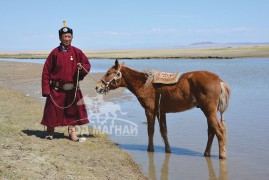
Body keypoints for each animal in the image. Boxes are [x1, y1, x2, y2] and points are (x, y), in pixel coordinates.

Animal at [95, 59, 229, 159]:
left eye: (108, 73)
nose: (97, 87)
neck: (144, 84)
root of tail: (218, 80)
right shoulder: (162, 112)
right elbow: (164, 131)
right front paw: (168, 150)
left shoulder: (149, 111)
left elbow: (151, 130)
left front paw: (150, 149)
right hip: (208, 110)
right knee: (212, 131)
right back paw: (207, 153)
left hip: (208, 110)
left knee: (219, 130)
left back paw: (222, 155)